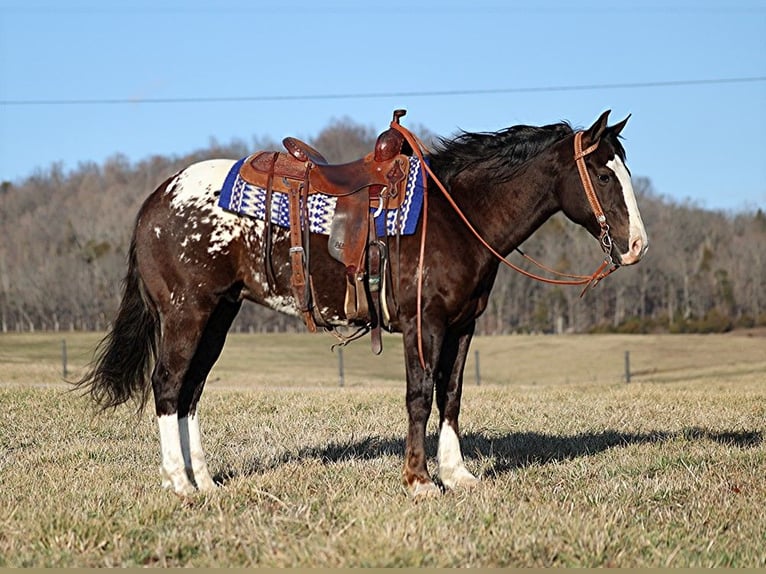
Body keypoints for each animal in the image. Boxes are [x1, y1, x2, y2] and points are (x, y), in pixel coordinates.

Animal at [75, 108, 648, 500]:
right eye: (603, 175)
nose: (637, 245)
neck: (455, 215)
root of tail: (157, 199)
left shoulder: (463, 326)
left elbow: (452, 396)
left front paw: (457, 474)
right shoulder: (424, 324)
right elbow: (420, 396)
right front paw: (419, 480)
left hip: (217, 315)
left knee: (191, 390)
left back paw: (206, 482)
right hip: (185, 313)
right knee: (168, 385)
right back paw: (178, 483)